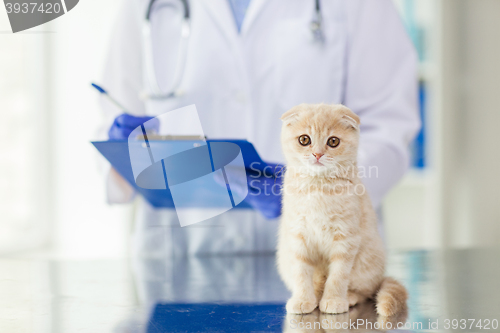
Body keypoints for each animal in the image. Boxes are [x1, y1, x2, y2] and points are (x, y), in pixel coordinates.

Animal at [276, 104, 408, 314]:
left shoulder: (346, 237)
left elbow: (338, 275)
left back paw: (349, 297)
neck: (318, 186)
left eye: (333, 141)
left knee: (365, 291)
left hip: (367, 265)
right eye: (304, 140)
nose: (317, 154)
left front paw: (334, 300)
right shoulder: (297, 235)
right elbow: (301, 272)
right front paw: (303, 299)